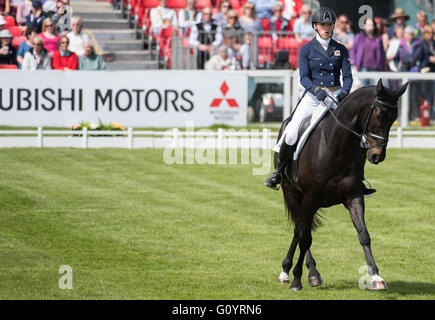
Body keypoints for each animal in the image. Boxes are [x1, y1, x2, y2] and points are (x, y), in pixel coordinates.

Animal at [276, 79, 408, 290]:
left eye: (394, 117)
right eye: (379, 115)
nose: (377, 156)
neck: (337, 145)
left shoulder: (353, 196)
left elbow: (363, 234)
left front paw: (376, 277)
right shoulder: (310, 197)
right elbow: (305, 238)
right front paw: (296, 280)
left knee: (299, 230)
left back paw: (306, 272)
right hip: (291, 191)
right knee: (300, 230)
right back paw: (291, 272)